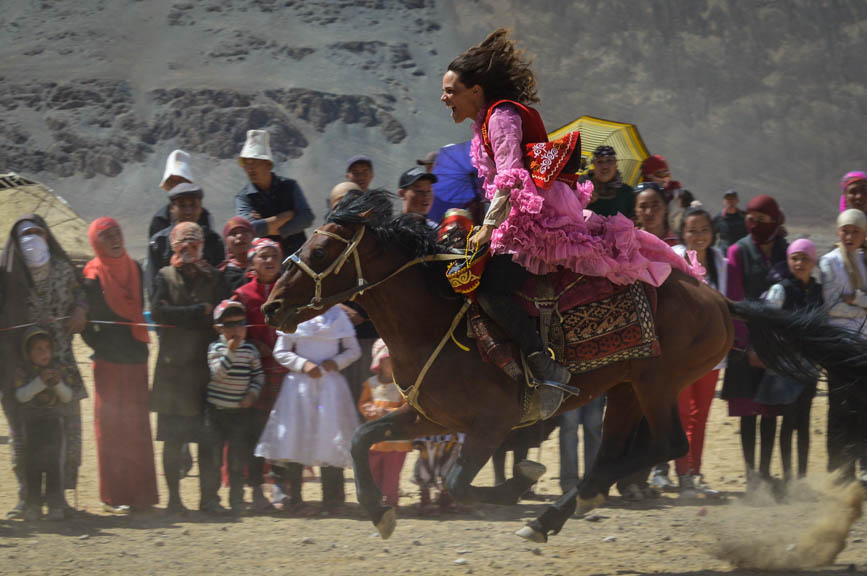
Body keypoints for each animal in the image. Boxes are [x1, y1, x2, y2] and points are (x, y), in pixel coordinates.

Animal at [262, 192, 867, 544]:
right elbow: (362, 438)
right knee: (617, 450)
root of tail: (718, 297)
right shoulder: (427, 417)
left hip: (657, 382)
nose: (270, 306)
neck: (437, 321)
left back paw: (558, 507)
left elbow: (459, 480)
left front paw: (518, 482)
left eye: (321, 254)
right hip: (626, 388)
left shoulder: (490, 424)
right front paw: (378, 511)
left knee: (667, 444)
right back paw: (567, 507)